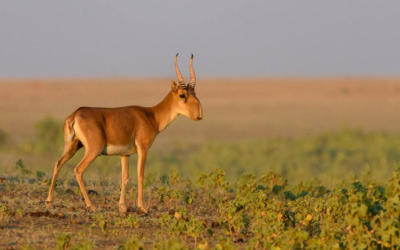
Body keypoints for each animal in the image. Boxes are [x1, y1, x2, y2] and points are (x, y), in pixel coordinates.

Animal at [46, 54, 203, 213]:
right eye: (182, 95)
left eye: (194, 93)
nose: (198, 116)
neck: (152, 116)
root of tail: (75, 114)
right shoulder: (143, 149)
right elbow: (140, 175)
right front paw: (142, 207)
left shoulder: (125, 154)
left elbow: (124, 177)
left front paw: (122, 206)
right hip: (93, 150)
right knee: (78, 169)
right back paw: (91, 205)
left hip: (72, 146)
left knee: (58, 163)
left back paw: (49, 202)